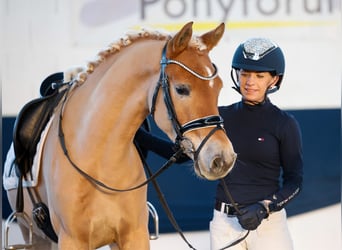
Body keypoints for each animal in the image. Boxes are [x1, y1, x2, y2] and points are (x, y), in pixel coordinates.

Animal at [4, 22, 236, 250]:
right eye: (181, 89)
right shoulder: (72, 240)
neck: (99, 157)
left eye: (218, 88)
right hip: (36, 237)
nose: (222, 158)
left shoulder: (133, 236)